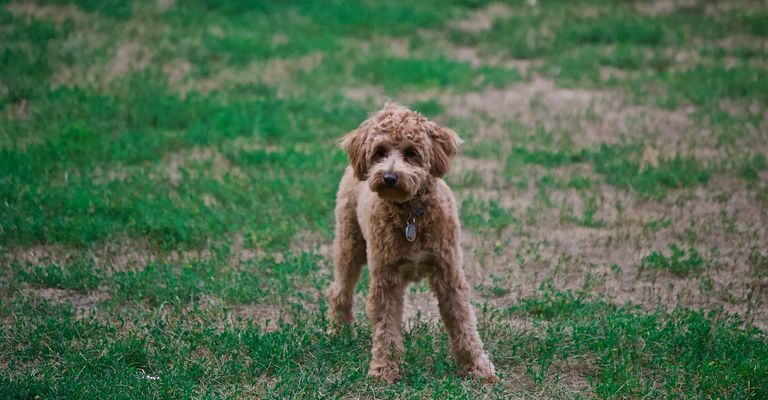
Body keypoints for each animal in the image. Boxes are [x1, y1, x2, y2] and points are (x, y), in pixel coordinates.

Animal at [326, 101, 498, 382]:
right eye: (380, 152)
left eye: (411, 153)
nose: (389, 177)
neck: (410, 216)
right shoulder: (385, 278)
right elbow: (385, 325)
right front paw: (384, 369)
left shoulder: (449, 272)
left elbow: (462, 320)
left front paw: (477, 366)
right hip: (349, 243)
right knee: (340, 289)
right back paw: (339, 332)